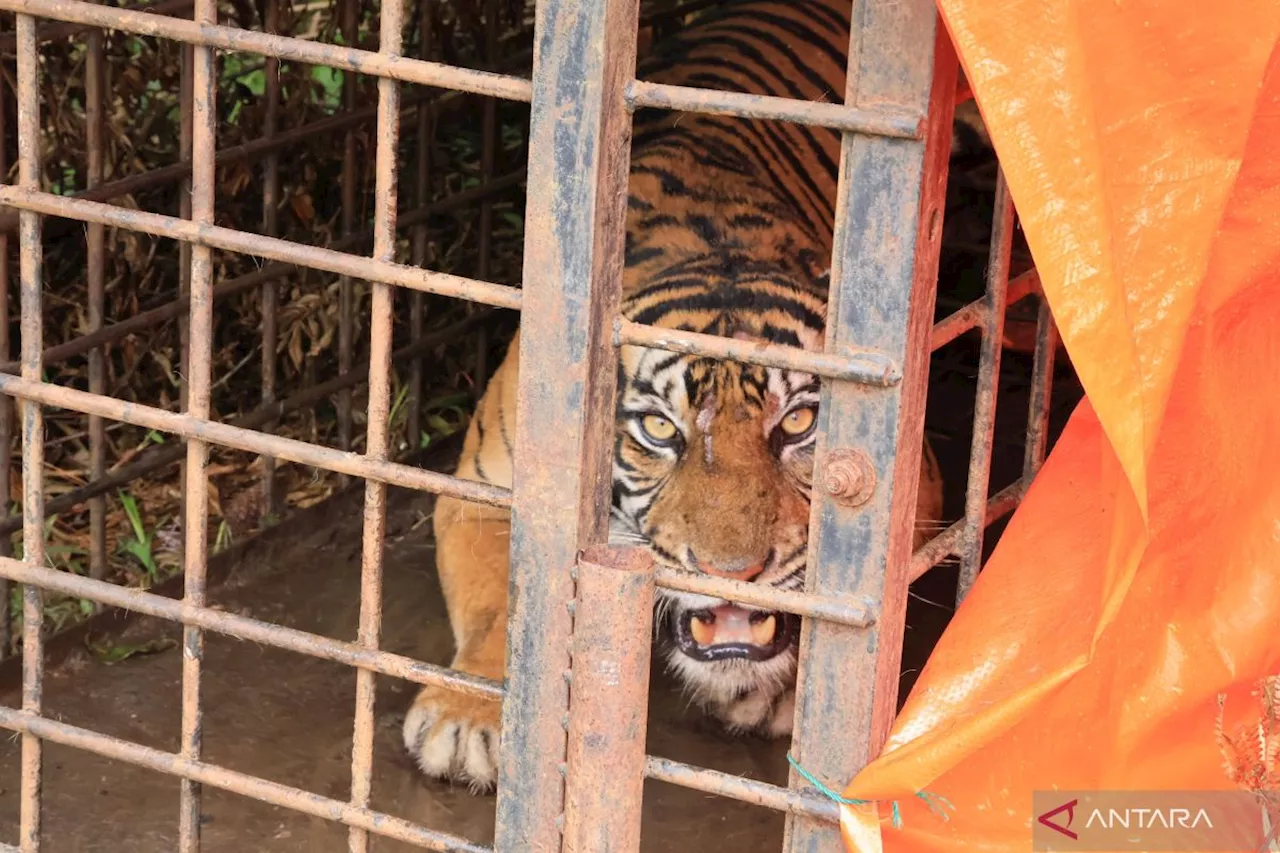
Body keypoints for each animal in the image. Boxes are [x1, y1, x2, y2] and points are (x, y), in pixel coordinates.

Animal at [401, 0, 977, 788]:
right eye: (660, 431)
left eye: (798, 422)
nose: (734, 575)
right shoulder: (487, 490)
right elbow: (508, 599)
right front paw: (468, 715)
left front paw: (784, 689)